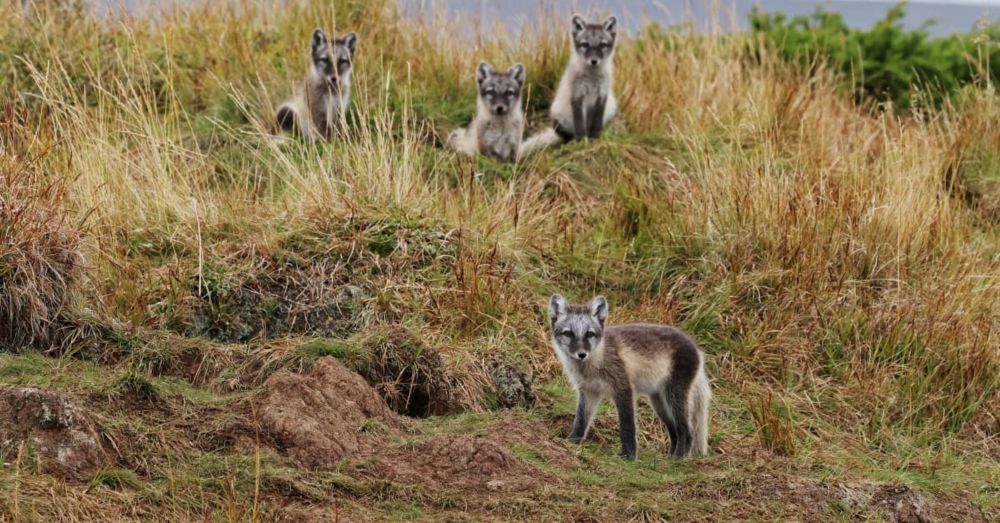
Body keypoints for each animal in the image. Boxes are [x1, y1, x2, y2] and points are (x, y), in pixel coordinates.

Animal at [520, 14, 620, 158]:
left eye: (602, 45)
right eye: (585, 44)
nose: (594, 61)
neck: (592, 77)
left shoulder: (602, 96)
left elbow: (595, 123)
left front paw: (594, 139)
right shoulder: (576, 95)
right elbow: (580, 125)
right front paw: (581, 142)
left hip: (611, 106)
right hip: (557, 114)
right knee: (564, 136)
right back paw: (571, 140)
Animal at [548, 294, 712, 462]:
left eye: (589, 334)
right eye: (568, 333)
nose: (582, 354)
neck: (595, 361)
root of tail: (697, 349)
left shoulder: (623, 387)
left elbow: (627, 426)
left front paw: (629, 455)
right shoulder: (588, 391)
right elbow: (581, 420)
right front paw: (572, 441)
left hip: (674, 396)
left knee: (687, 432)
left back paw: (677, 458)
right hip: (659, 403)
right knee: (674, 432)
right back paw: (668, 457)